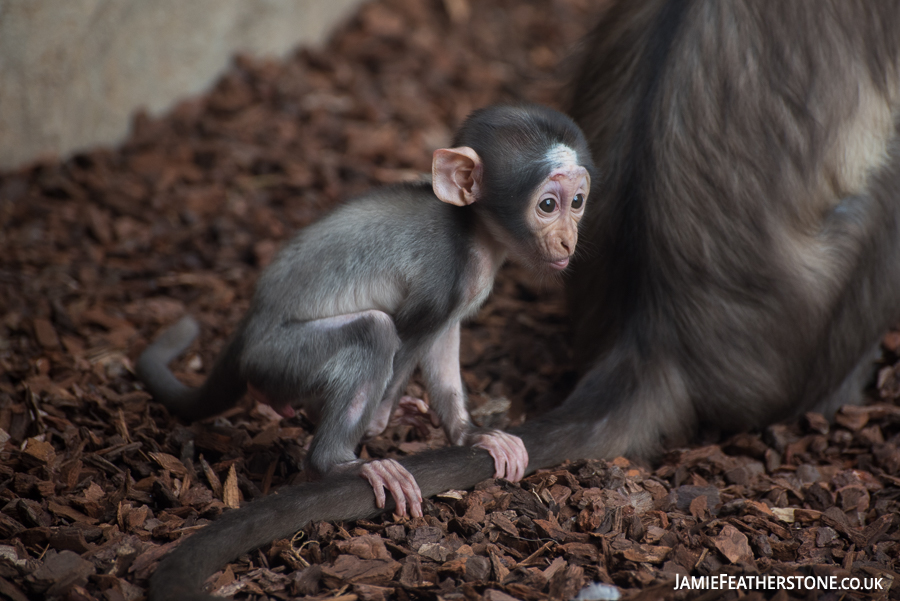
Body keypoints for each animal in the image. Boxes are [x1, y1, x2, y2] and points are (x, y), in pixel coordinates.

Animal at [137, 103, 596, 516]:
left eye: (577, 201)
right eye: (548, 205)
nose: (569, 241)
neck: (474, 229)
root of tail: (249, 325)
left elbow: (443, 341)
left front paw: (470, 436)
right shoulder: (445, 270)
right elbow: (409, 337)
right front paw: (378, 424)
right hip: (276, 358)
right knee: (374, 331)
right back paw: (336, 464)